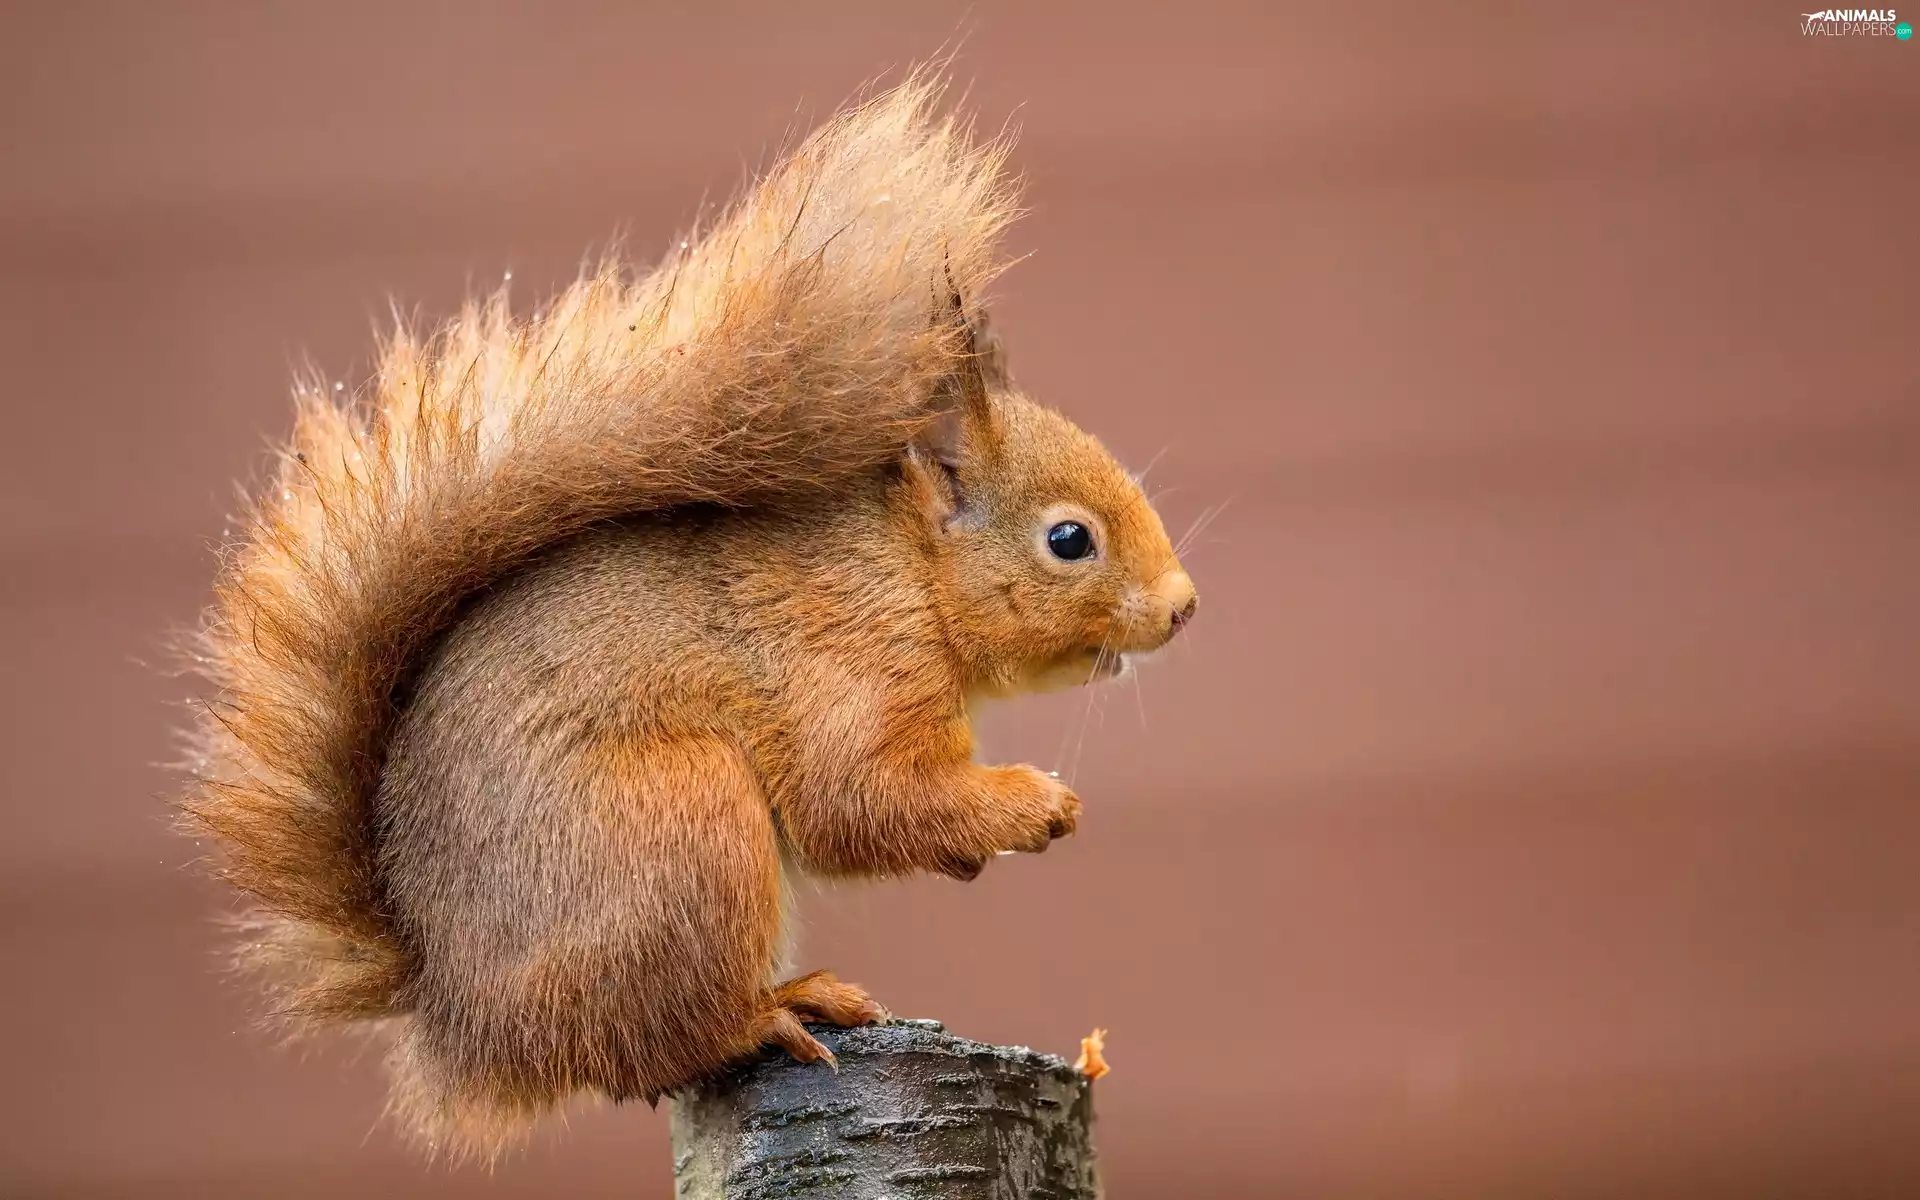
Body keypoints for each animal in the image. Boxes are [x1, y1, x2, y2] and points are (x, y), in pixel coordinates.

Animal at [179, 74, 1196, 1157]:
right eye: (1069, 540)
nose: (1184, 607)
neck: (907, 574)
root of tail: (467, 1023)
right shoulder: (849, 661)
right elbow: (859, 801)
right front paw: (1032, 802)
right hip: (682, 829)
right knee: (666, 1039)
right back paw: (780, 1008)